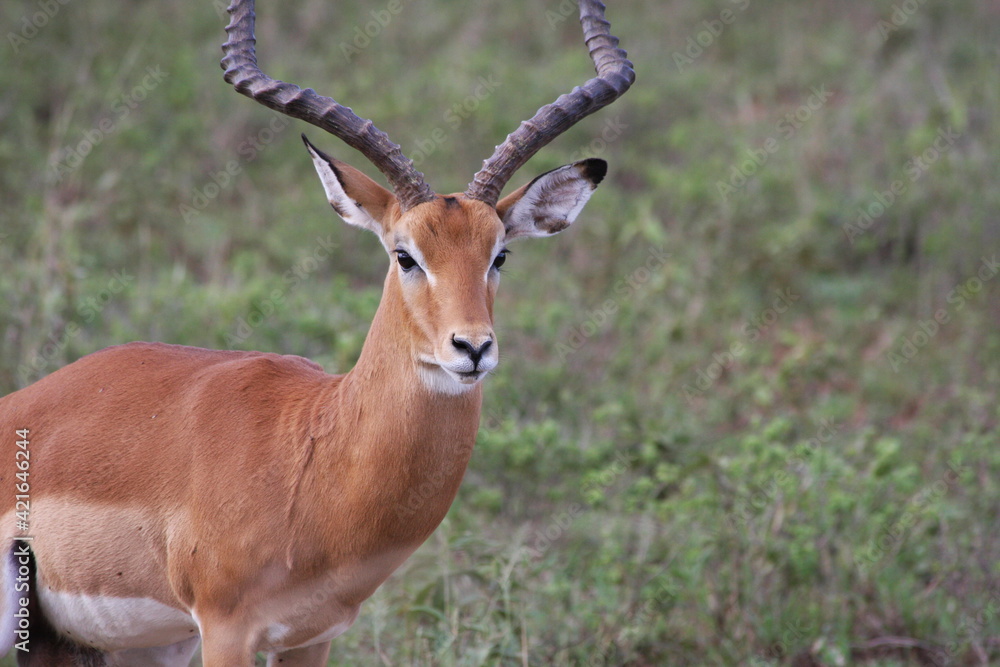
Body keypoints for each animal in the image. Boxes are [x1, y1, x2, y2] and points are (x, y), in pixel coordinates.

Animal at [0, 0, 633, 664]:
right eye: (405, 255)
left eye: (500, 255)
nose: (473, 348)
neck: (313, 445)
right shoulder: (225, 627)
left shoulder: (314, 636)